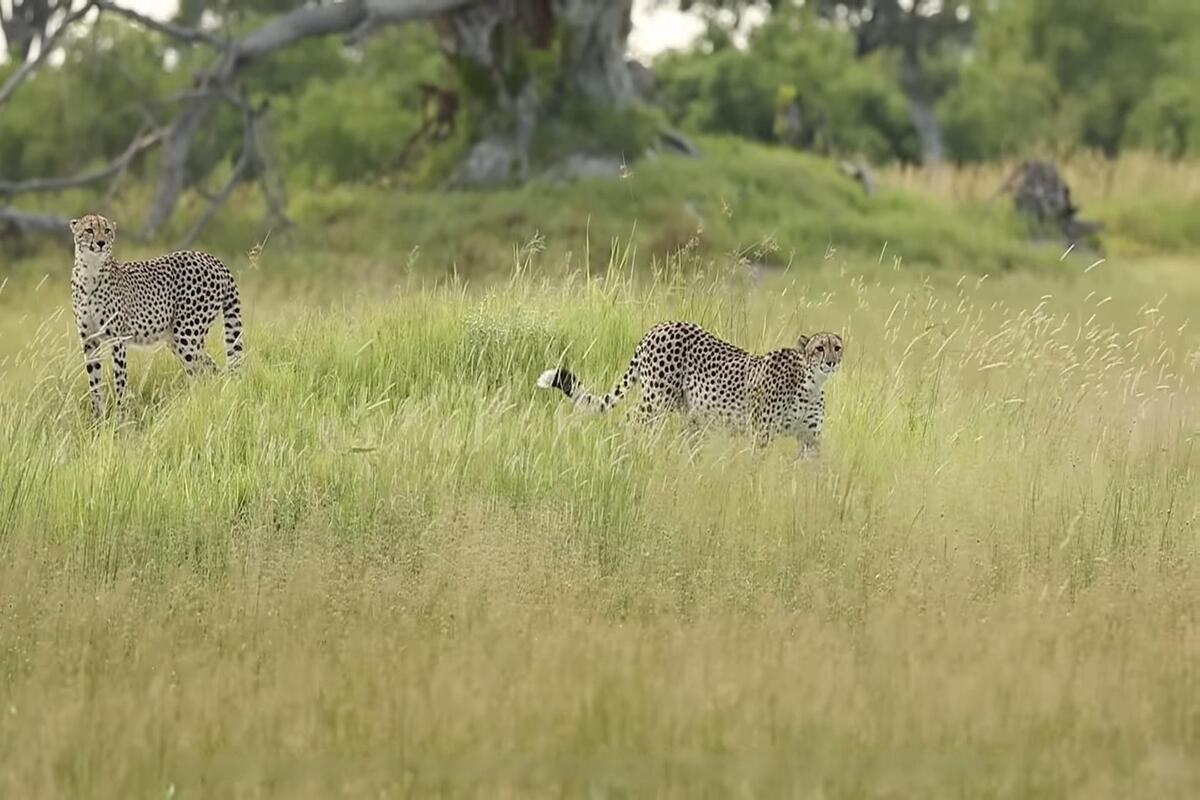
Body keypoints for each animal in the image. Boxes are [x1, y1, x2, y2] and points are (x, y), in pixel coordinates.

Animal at [69, 212, 244, 416]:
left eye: (107, 230)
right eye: (89, 230)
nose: (101, 243)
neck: (90, 271)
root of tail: (211, 258)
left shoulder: (117, 339)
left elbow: (120, 380)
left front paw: (120, 417)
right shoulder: (90, 339)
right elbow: (94, 382)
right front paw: (98, 418)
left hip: (187, 335)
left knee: (200, 374)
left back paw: (196, 407)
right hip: (176, 339)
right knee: (211, 370)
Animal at [537, 321, 843, 458]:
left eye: (837, 347)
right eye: (819, 348)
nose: (831, 361)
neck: (811, 383)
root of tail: (658, 326)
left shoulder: (810, 438)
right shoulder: (761, 433)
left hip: (690, 414)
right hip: (656, 399)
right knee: (630, 420)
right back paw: (629, 452)